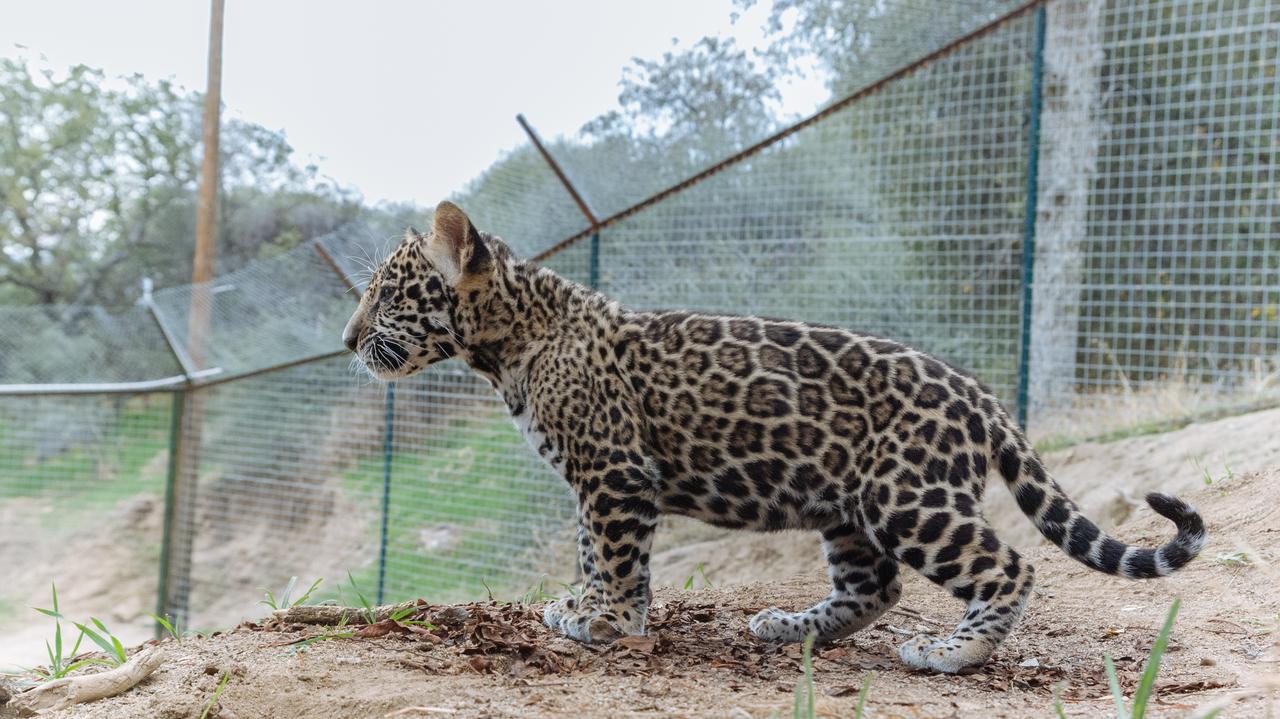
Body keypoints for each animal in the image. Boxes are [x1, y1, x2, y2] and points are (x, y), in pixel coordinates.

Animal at [343, 201, 1207, 673]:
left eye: (385, 294)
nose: (348, 339)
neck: (507, 344)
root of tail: (979, 393)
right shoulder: (597, 479)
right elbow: (596, 551)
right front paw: (588, 608)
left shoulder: (614, 472)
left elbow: (613, 553)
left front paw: (606, 620)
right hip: (849, 506)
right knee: (875, 586)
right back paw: (786, 627)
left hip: (909, 496)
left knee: (1009, 567)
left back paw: (952, 652)